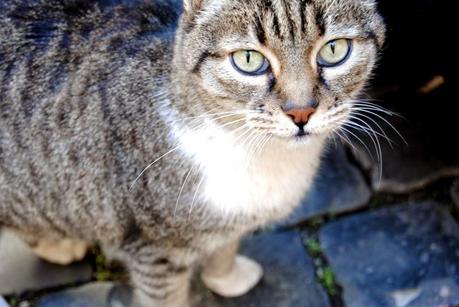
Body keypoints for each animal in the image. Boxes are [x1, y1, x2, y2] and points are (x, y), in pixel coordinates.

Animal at [0, 0, 384, 306]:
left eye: (334, 51)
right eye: (248, 60)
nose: (301, 112)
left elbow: (225, 247)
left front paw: (226, 277)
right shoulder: (155, 249)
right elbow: (166, 298)